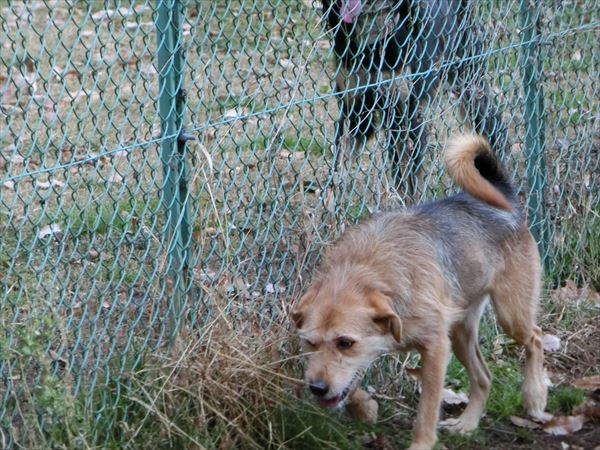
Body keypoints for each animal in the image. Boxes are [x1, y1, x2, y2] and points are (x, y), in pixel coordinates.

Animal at [293, 134, 548, 449]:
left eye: (345, 343)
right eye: (309, 343)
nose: (316, 388)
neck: (366, 271)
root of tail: (505, 199)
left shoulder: (436, 348)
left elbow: (427, 409)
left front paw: (421, 443)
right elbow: (349, 386)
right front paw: (364, 408)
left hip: (510, 316)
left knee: (536, 337)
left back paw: (535, 396)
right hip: (461, 332)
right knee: (484, 377)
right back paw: (467, 423)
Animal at [321, 0, 508, 195]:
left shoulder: (409, 117)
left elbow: (410, 182)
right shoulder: (355, 110)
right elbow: (338, 171)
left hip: (471, 86)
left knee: (495, 132)